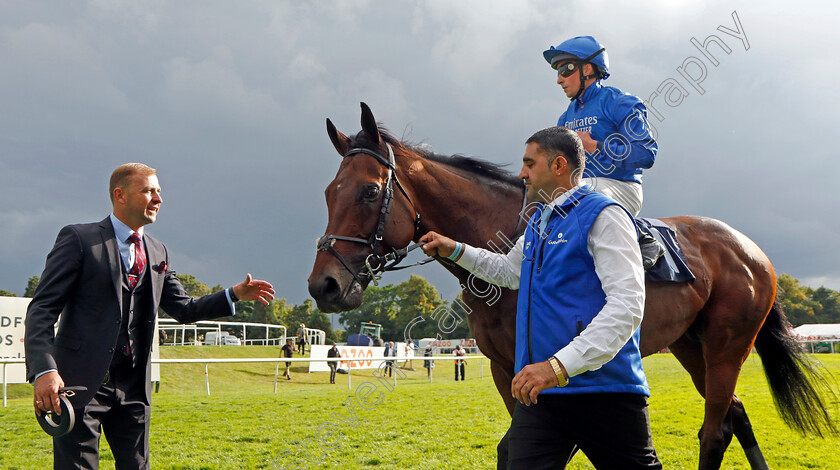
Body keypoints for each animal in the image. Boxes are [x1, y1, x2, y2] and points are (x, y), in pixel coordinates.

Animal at [306, 103, 832, 470]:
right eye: (328, 193)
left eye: (370, 191)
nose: (323, 286)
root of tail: (752, 250)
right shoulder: (504, 369)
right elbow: (515, 445)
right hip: (691, 345)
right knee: (735, 414)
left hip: (728, 346)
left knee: (714, 430)